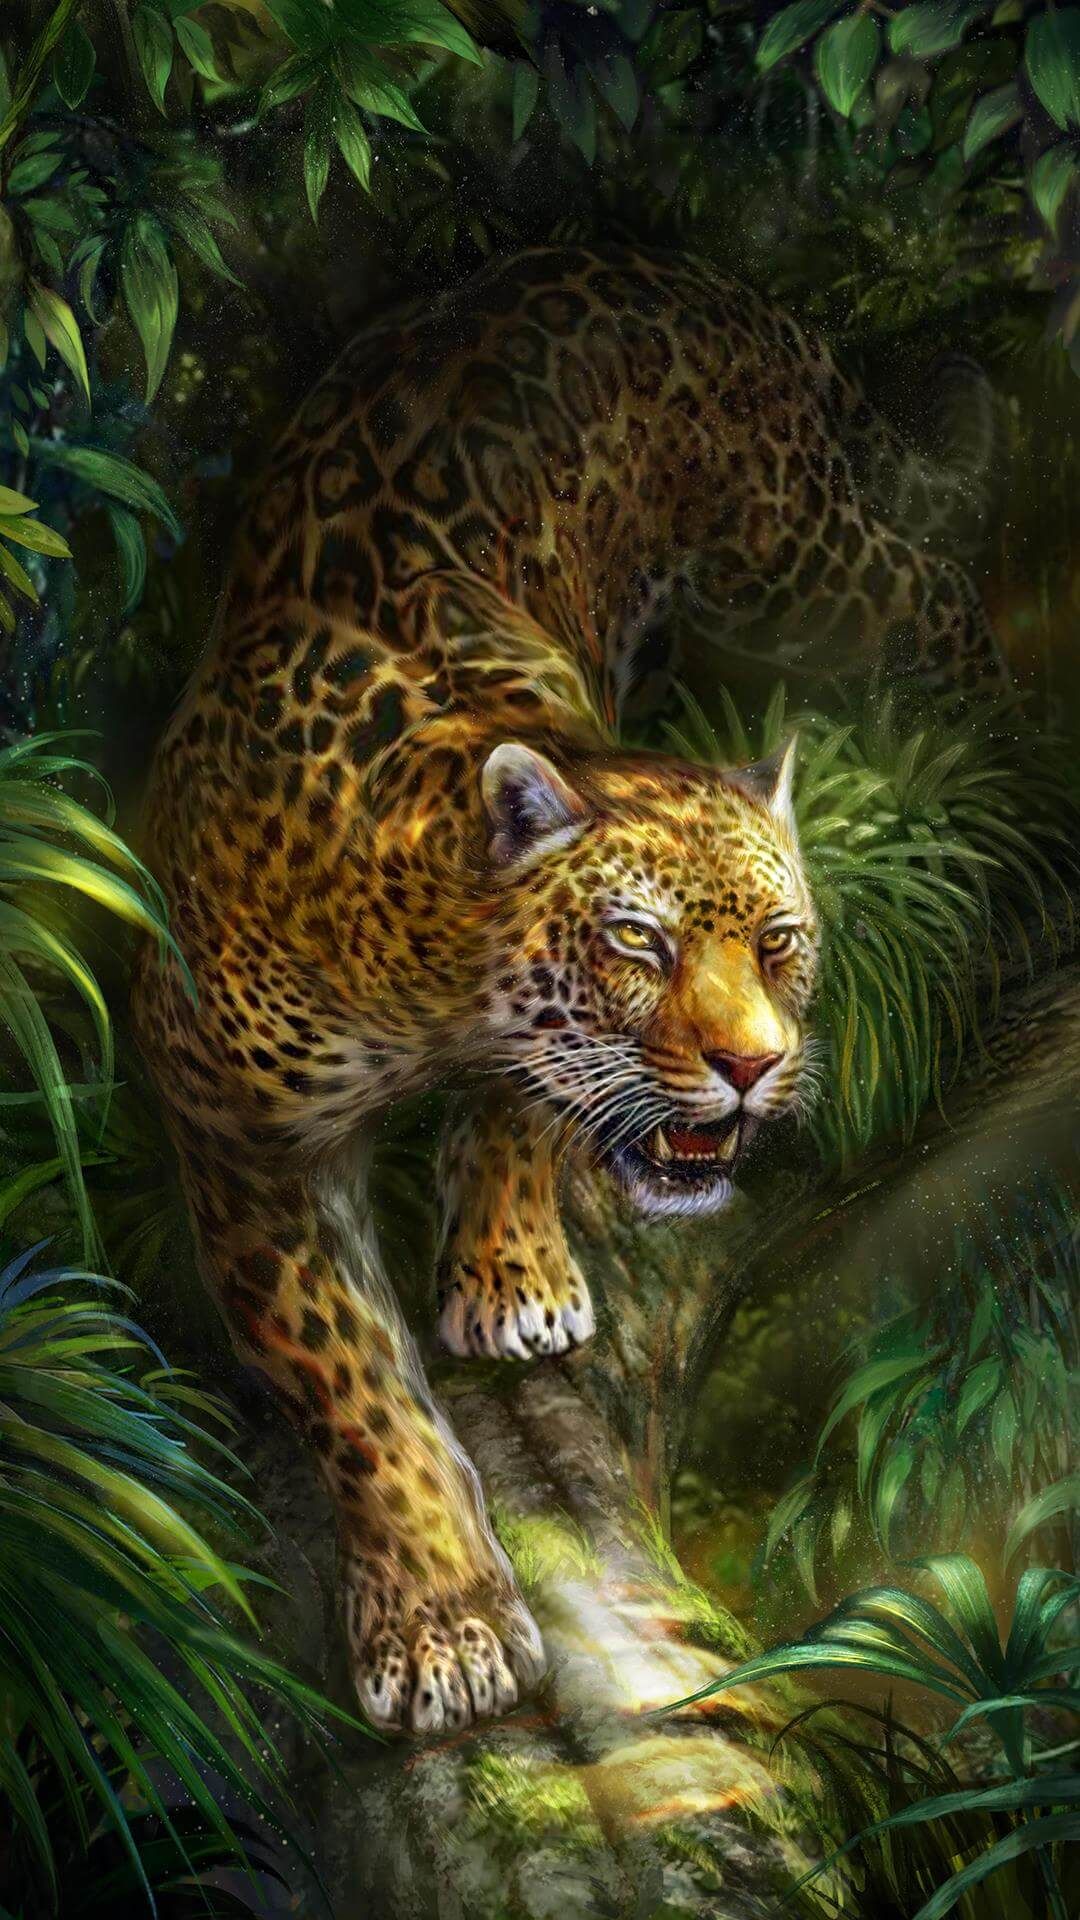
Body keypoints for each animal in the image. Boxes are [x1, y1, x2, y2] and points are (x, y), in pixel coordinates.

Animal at [132, 244, 1005, 1737]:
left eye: (782, 940)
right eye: (638, 943)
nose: (755, 1066)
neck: (412, 953)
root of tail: (670, 263)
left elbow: (523, 1110)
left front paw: (511, 1270)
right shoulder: (237, 1129)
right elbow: (347, 1377)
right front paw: (443, 1625)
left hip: (797, 565)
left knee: (936, 585)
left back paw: (990, 718)